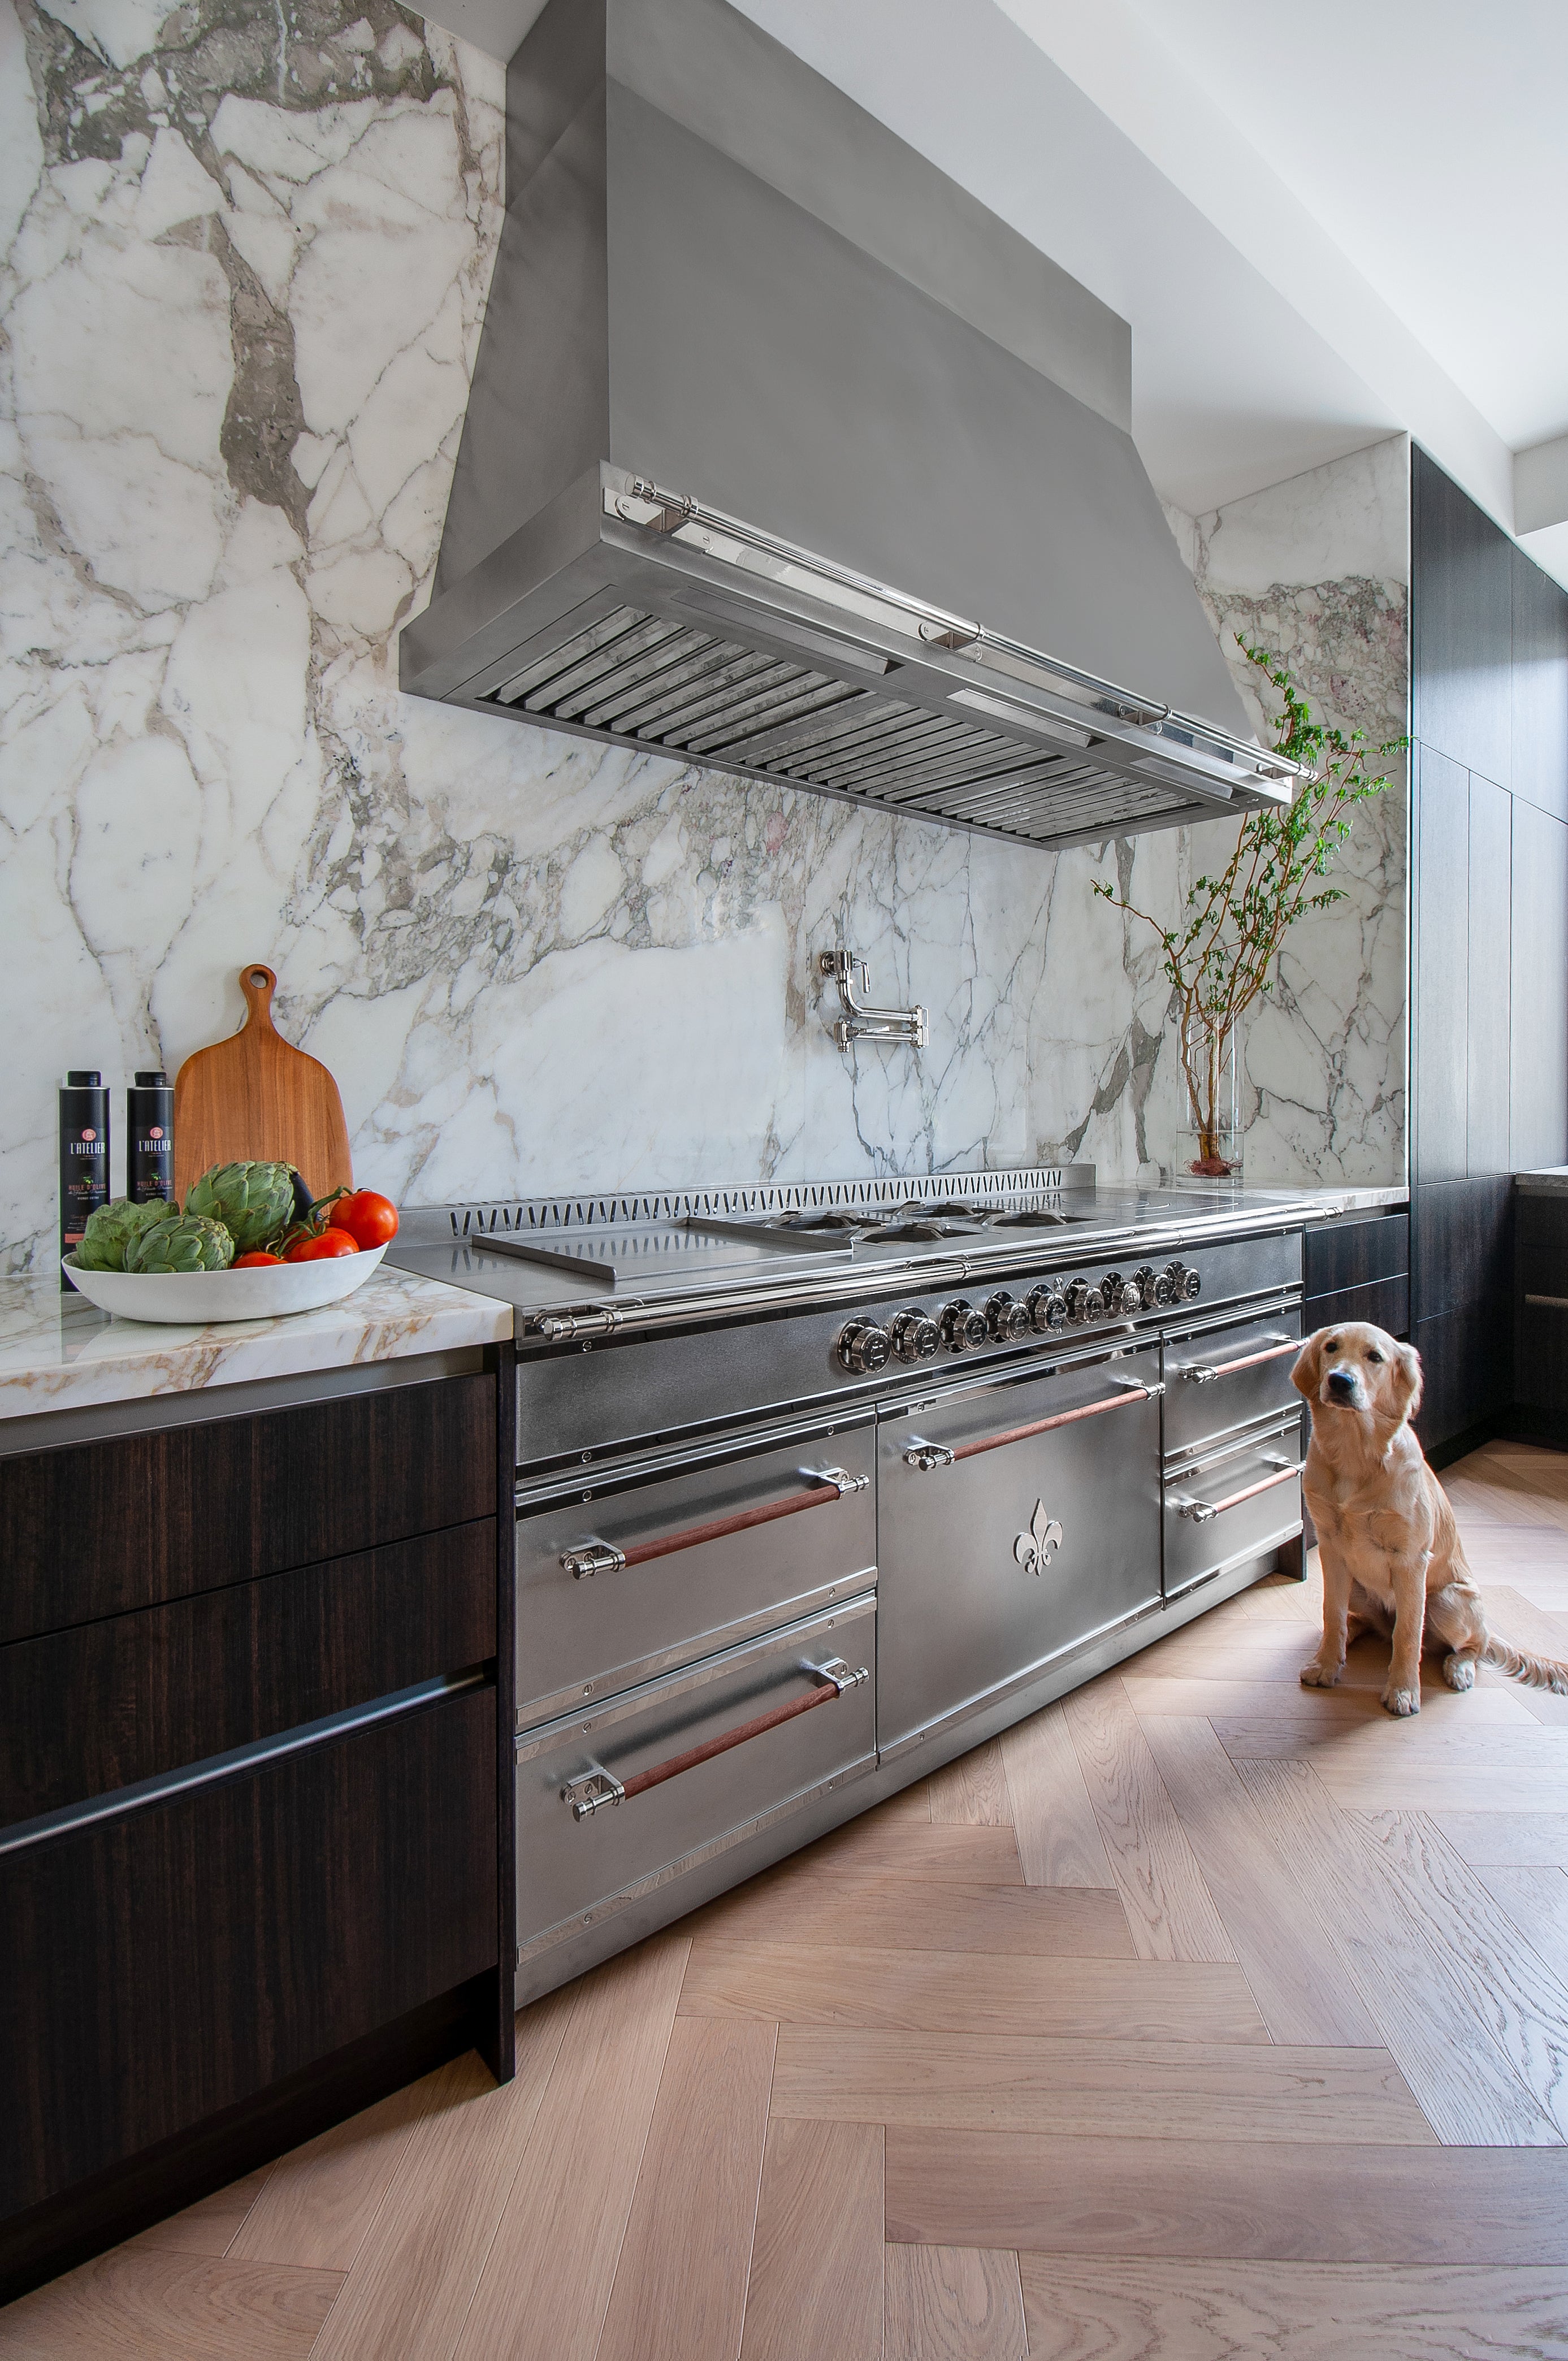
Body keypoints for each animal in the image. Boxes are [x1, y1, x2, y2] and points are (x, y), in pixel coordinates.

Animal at [1294, 1331, 1558, 1718]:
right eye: (1331, 1347)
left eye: (1375, 1357)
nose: (1340, 1381)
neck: (1355, 1452)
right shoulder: (1331, 1548)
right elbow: (1333, 1614)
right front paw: (1326, 1665)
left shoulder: (1410, 1560)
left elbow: (1407, 1634)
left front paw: (1403, 1691)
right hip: (1358, 1584)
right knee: (1356, 1620)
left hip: (1447, 1601)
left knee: (1471, 1645)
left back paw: (1459, 1668)